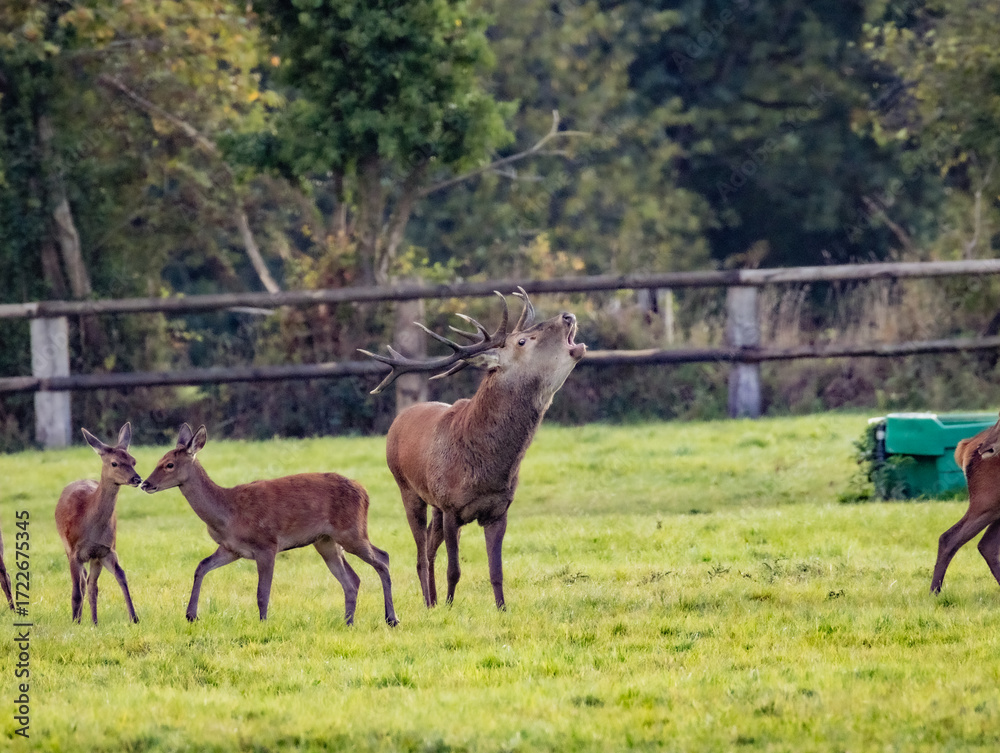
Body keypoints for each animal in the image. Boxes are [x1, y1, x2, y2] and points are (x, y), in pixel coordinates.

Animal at [54, 423, 142, 624]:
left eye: (133, 461)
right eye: (114, 463)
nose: (137, 479)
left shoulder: (104, 551)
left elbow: (117, 578)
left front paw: (133, 618)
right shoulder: (74, 551)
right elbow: (76, 591)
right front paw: (75, 622)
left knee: (89, 583)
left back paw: (92, 620)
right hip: (66, 547)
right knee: (80, 583)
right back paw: (78, 618)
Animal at [140, 424, 398, 626]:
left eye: (169, 464)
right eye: (159, 460)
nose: (145, 483)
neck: (227, 513)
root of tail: (364, 491)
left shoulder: (266, 544)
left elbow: (262, 592)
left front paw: (263, 622)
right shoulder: (231, 548)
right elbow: (201, 566)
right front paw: (191, 615)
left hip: (352, 530)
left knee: (383, 557)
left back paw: (391, 619)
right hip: (326, 542)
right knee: (353, 580)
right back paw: (348, 622)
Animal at [360, 287, 586, 610]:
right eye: (522, 340)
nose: (567, 316)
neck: (487, 469)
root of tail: (399, 419)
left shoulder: (498, 510)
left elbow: (497, 571)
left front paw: (502, 609)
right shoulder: (451, 507)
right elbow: (454, 569)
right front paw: (449, 607)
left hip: (435, 504)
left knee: (429, 547)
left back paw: (432, 600)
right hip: (408, 489)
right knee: (421, 553)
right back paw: (429, 602)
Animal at [931, 412, 1000, 594]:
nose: (985, 448)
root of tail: (965, 447)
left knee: (986, 545)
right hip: (987, 501)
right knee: (949, 537)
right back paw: (934, 592)